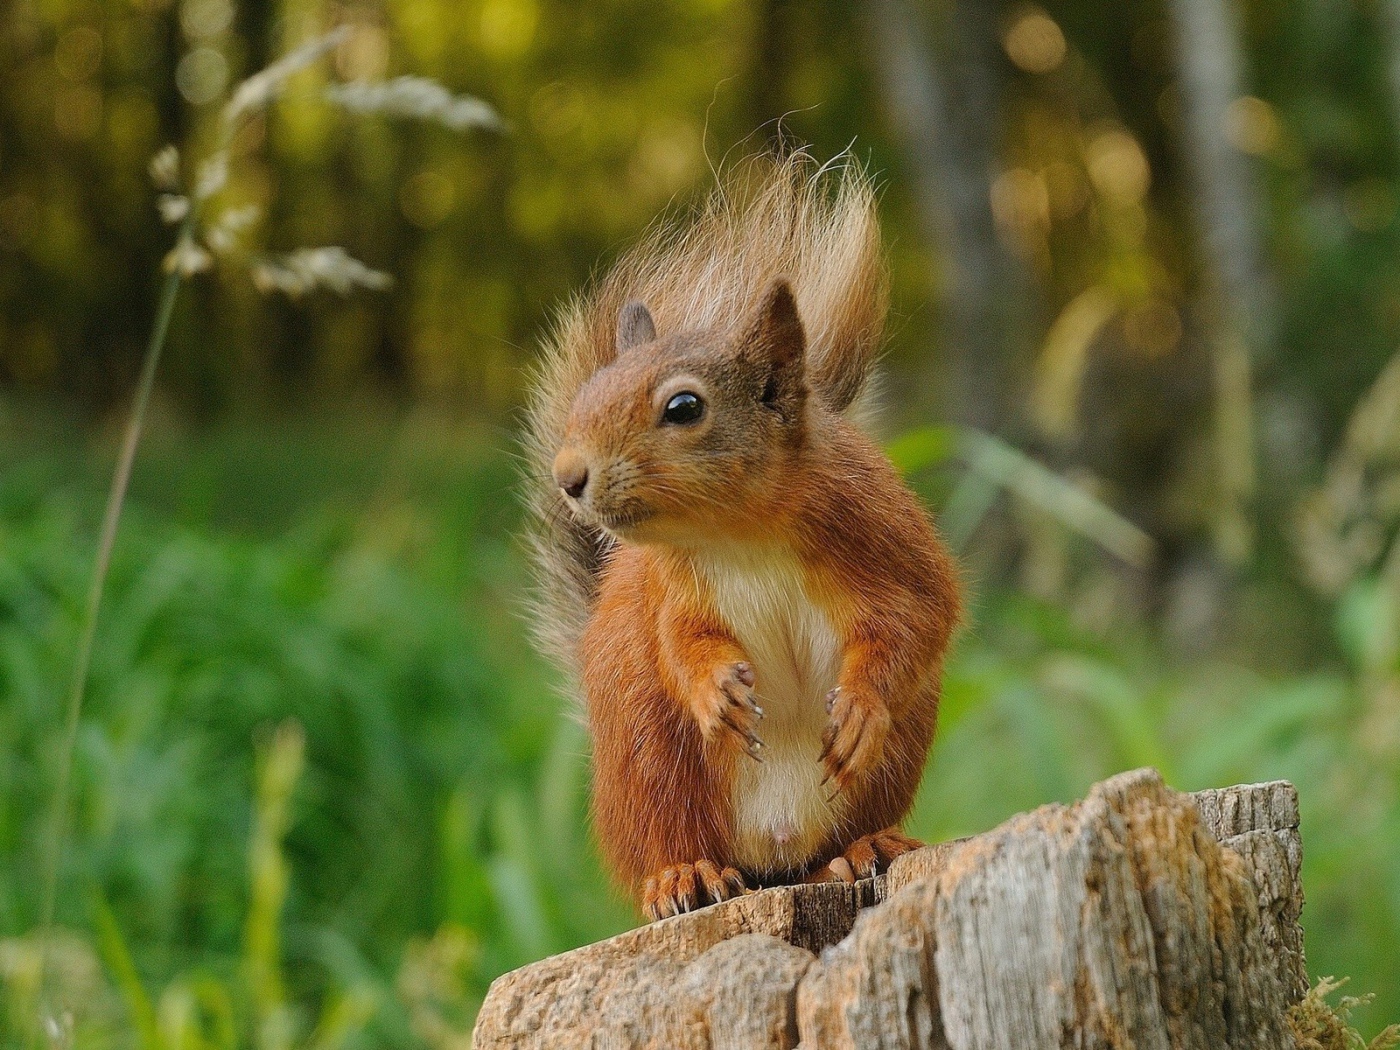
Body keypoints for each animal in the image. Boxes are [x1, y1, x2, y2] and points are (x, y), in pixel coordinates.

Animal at [524, 153, 960, 921]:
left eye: (683, 407)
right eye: (587, 395)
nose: (568, 476)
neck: (738, 534)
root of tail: (772, 855)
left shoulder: (884, 534)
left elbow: (918, 618)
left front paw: (860, 708)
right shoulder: (671, 590)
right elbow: (682, 645)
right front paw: (714, 692)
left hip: (887, 765)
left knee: (830, 845)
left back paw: (862, 848)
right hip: (650, 760)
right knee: (674, 840)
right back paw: (684, 876)